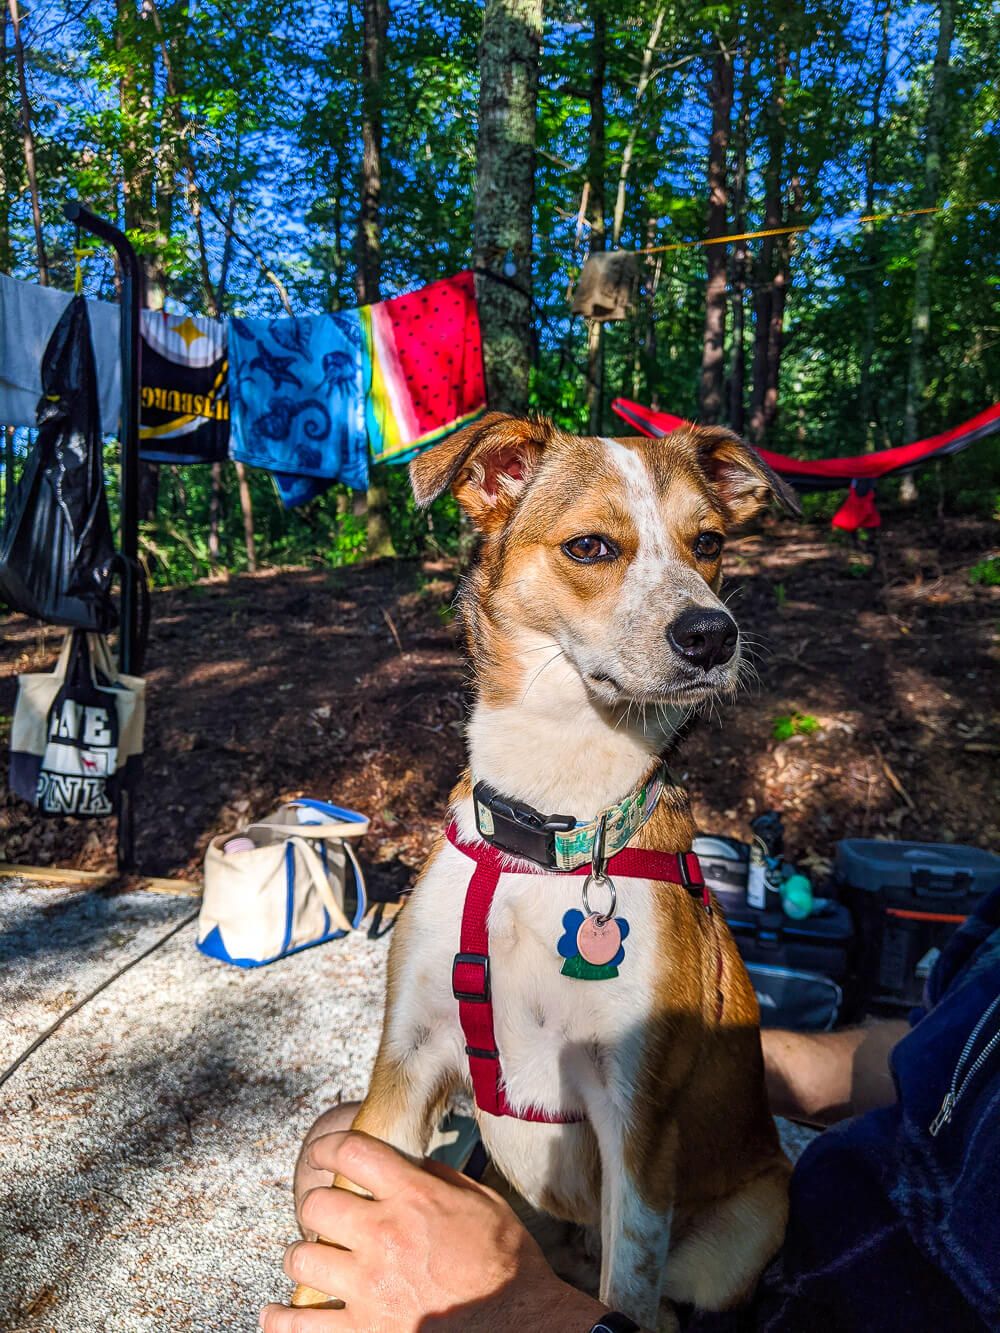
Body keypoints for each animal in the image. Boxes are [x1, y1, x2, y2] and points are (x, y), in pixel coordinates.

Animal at [293, 413, 805, 1322]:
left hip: (749, 1221)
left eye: (708, 542)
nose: (714, 634)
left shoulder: (638, 1124)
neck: (548, 837)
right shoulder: (403, 1065)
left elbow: (627, 1285)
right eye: (591, 546)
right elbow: (332, 1245)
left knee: (663, 1304)